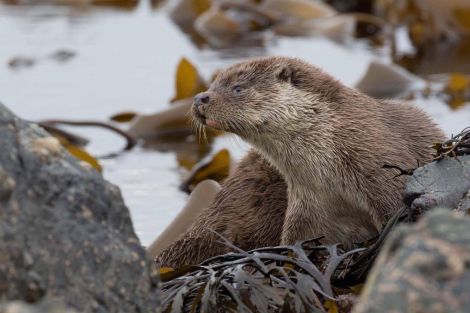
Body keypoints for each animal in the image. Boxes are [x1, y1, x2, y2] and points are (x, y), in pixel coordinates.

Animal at [157, 56, 444, 266]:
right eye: (213, 84)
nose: (200, 97)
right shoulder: (310, 206)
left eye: (238, 88)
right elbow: (298, 240)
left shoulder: (384, 172)